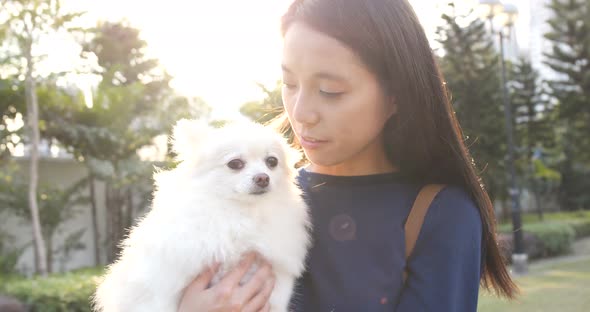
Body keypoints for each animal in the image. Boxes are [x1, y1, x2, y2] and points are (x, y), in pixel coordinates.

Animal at [93, 118, 312, 310]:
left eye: (272, 161)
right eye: (235, 164)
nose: (263, 178)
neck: (240, 214)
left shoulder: (277, 284)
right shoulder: (162, 286)